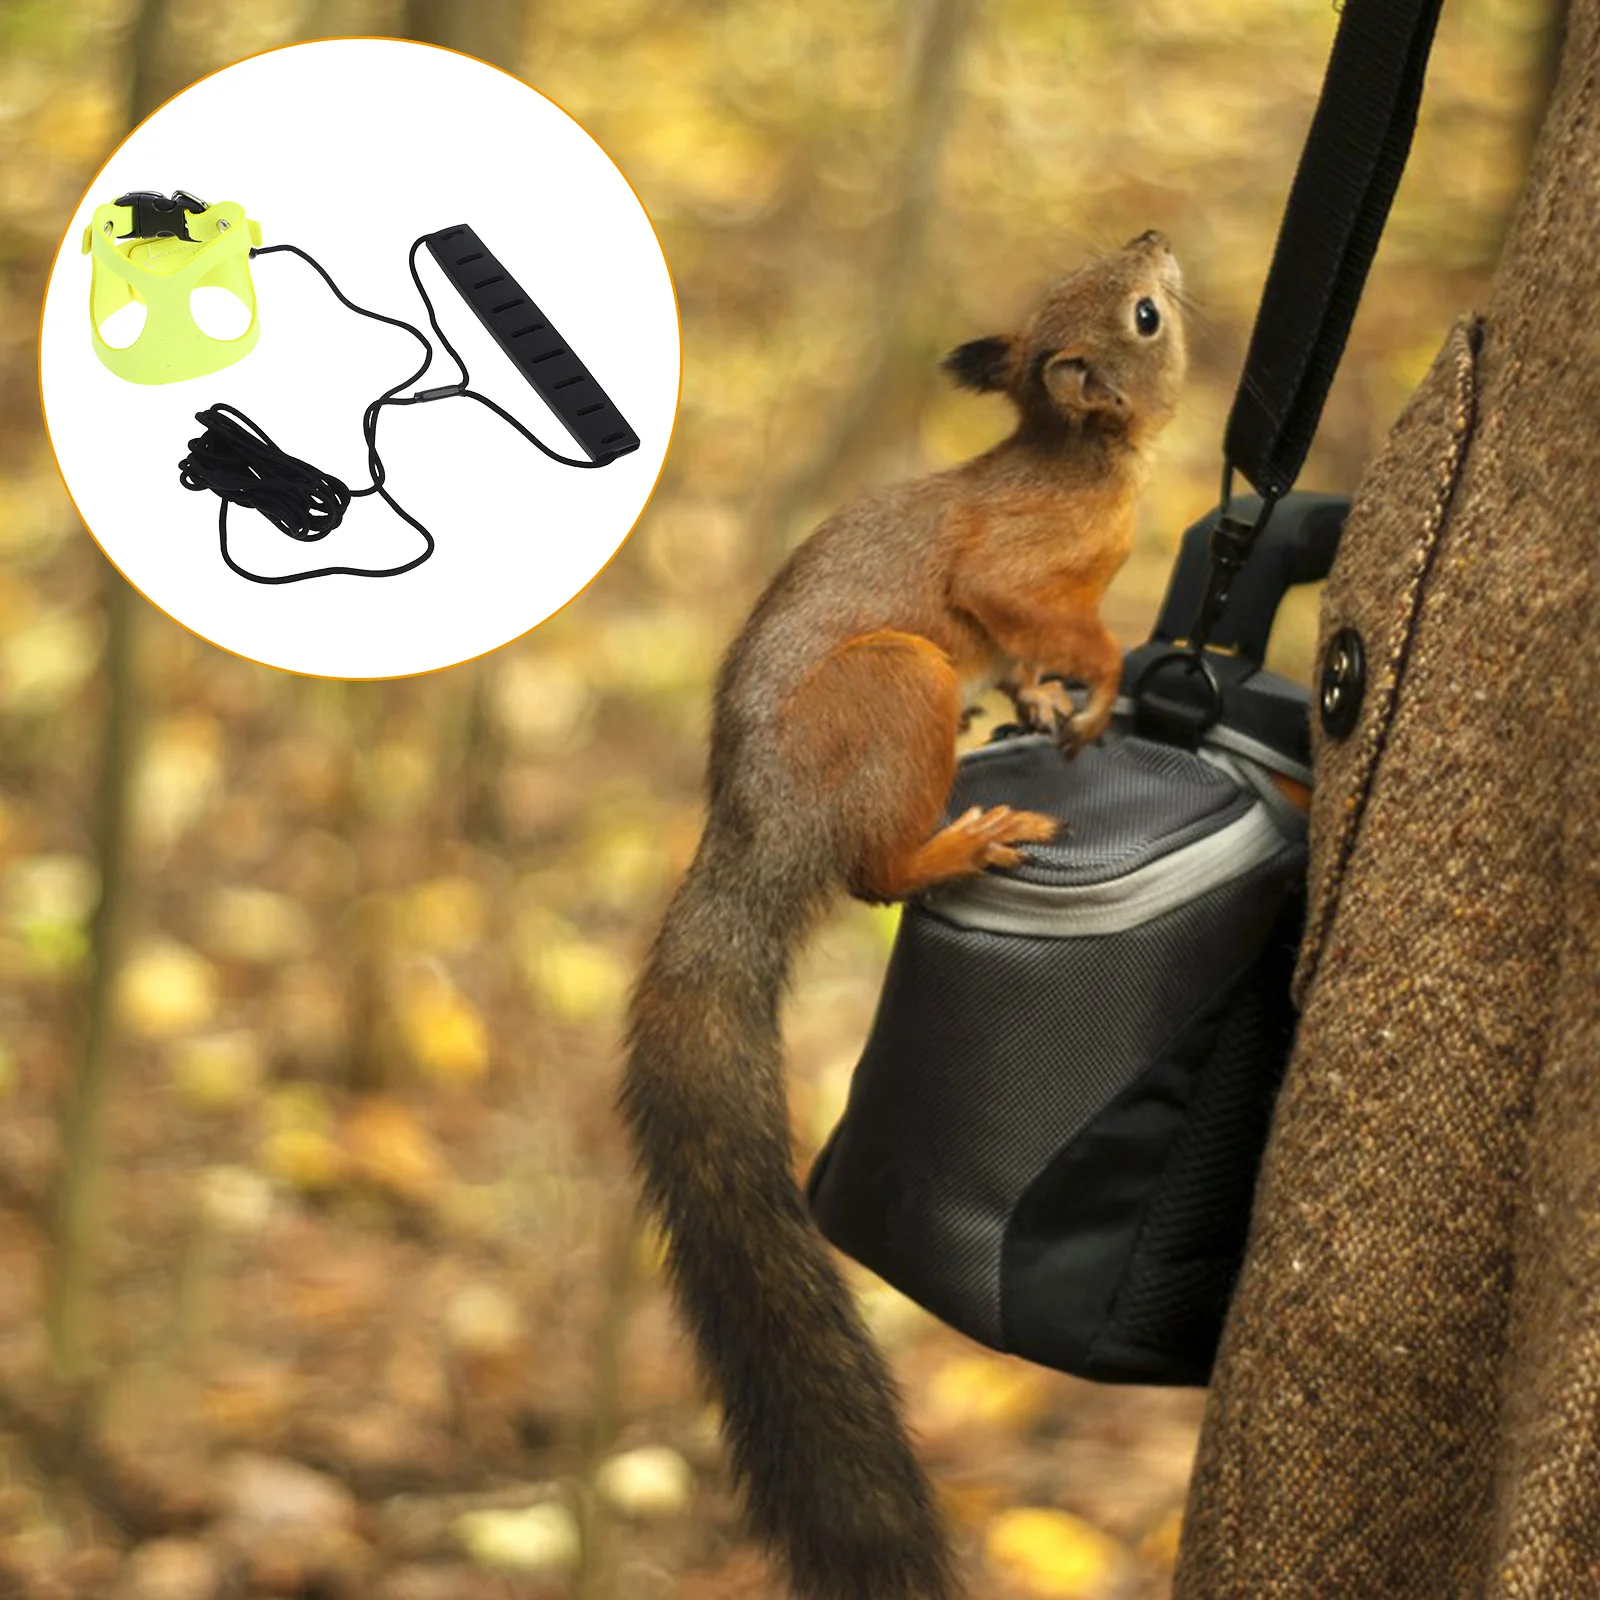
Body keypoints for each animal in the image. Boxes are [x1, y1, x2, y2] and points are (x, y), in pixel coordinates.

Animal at [622, 231, 1187, 1600]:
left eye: (1119, 276)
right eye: (1143, 314)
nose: (1154, 238)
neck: (1087, 465)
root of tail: (757, 837)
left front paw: (1043, 700)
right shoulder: (1018, 567)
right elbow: (1043, 611)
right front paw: (1099, 683)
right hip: (897, 683)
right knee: (875, 871)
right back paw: (962, 837)